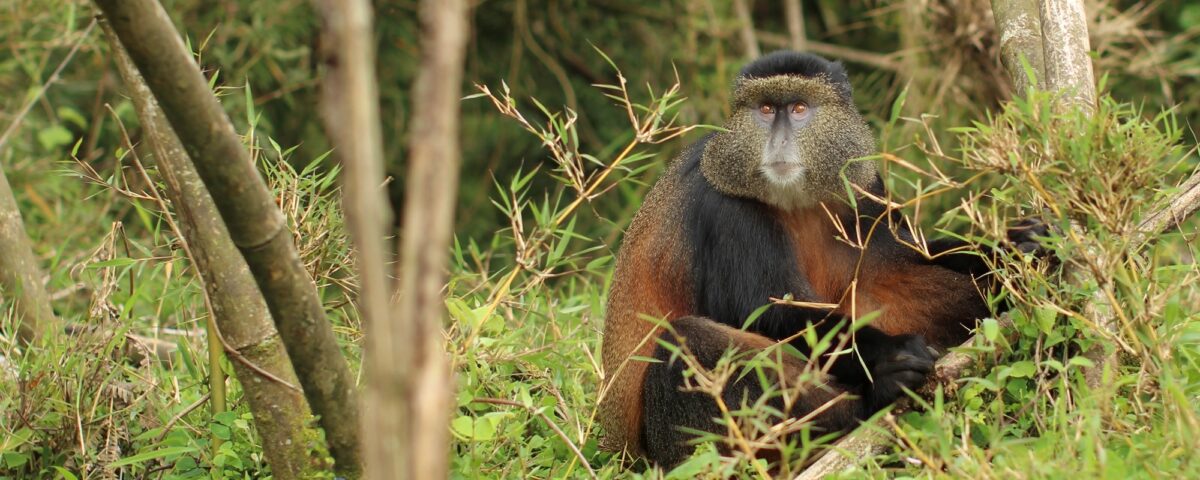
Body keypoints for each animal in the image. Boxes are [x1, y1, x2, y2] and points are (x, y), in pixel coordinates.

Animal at [598, 51, 1044, 467]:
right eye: (765, 109)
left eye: (798, 109)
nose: (778, 140)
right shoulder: (727, 210)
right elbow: (769, 313)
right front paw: (891, 359)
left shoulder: (863, 188)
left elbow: (908, 255)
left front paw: (1017, 246)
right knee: (685, 341)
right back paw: (866, 405)